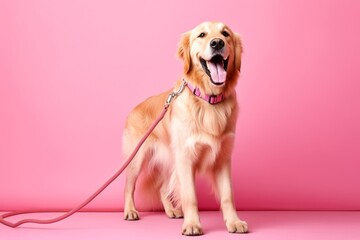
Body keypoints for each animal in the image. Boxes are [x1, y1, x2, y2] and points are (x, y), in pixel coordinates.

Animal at [123, 21, 248, 235]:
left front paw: (234, 222)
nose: (217, 43)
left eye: (225, 34)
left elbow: (228, 196)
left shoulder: (222, 158)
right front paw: (192, 225)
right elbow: (190, 196)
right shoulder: (186, 157)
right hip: (136, 159)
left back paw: (171, 211)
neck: (209, 101)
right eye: (202, 35)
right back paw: (130, 211)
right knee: (129, 187)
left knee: (163, 189)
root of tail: (134, 108)